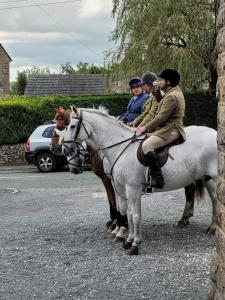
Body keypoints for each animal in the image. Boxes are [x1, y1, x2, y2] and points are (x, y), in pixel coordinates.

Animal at [61, 106, 218, 254]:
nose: (65, 150)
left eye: (72, 126)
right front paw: (127, 238)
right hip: (207, 178)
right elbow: (127, 211)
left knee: (215, 201)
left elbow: (135, 215)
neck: (120, 148)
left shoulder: (132, 188)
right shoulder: (122, 187)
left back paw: (212, 228)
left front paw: (134, 243)